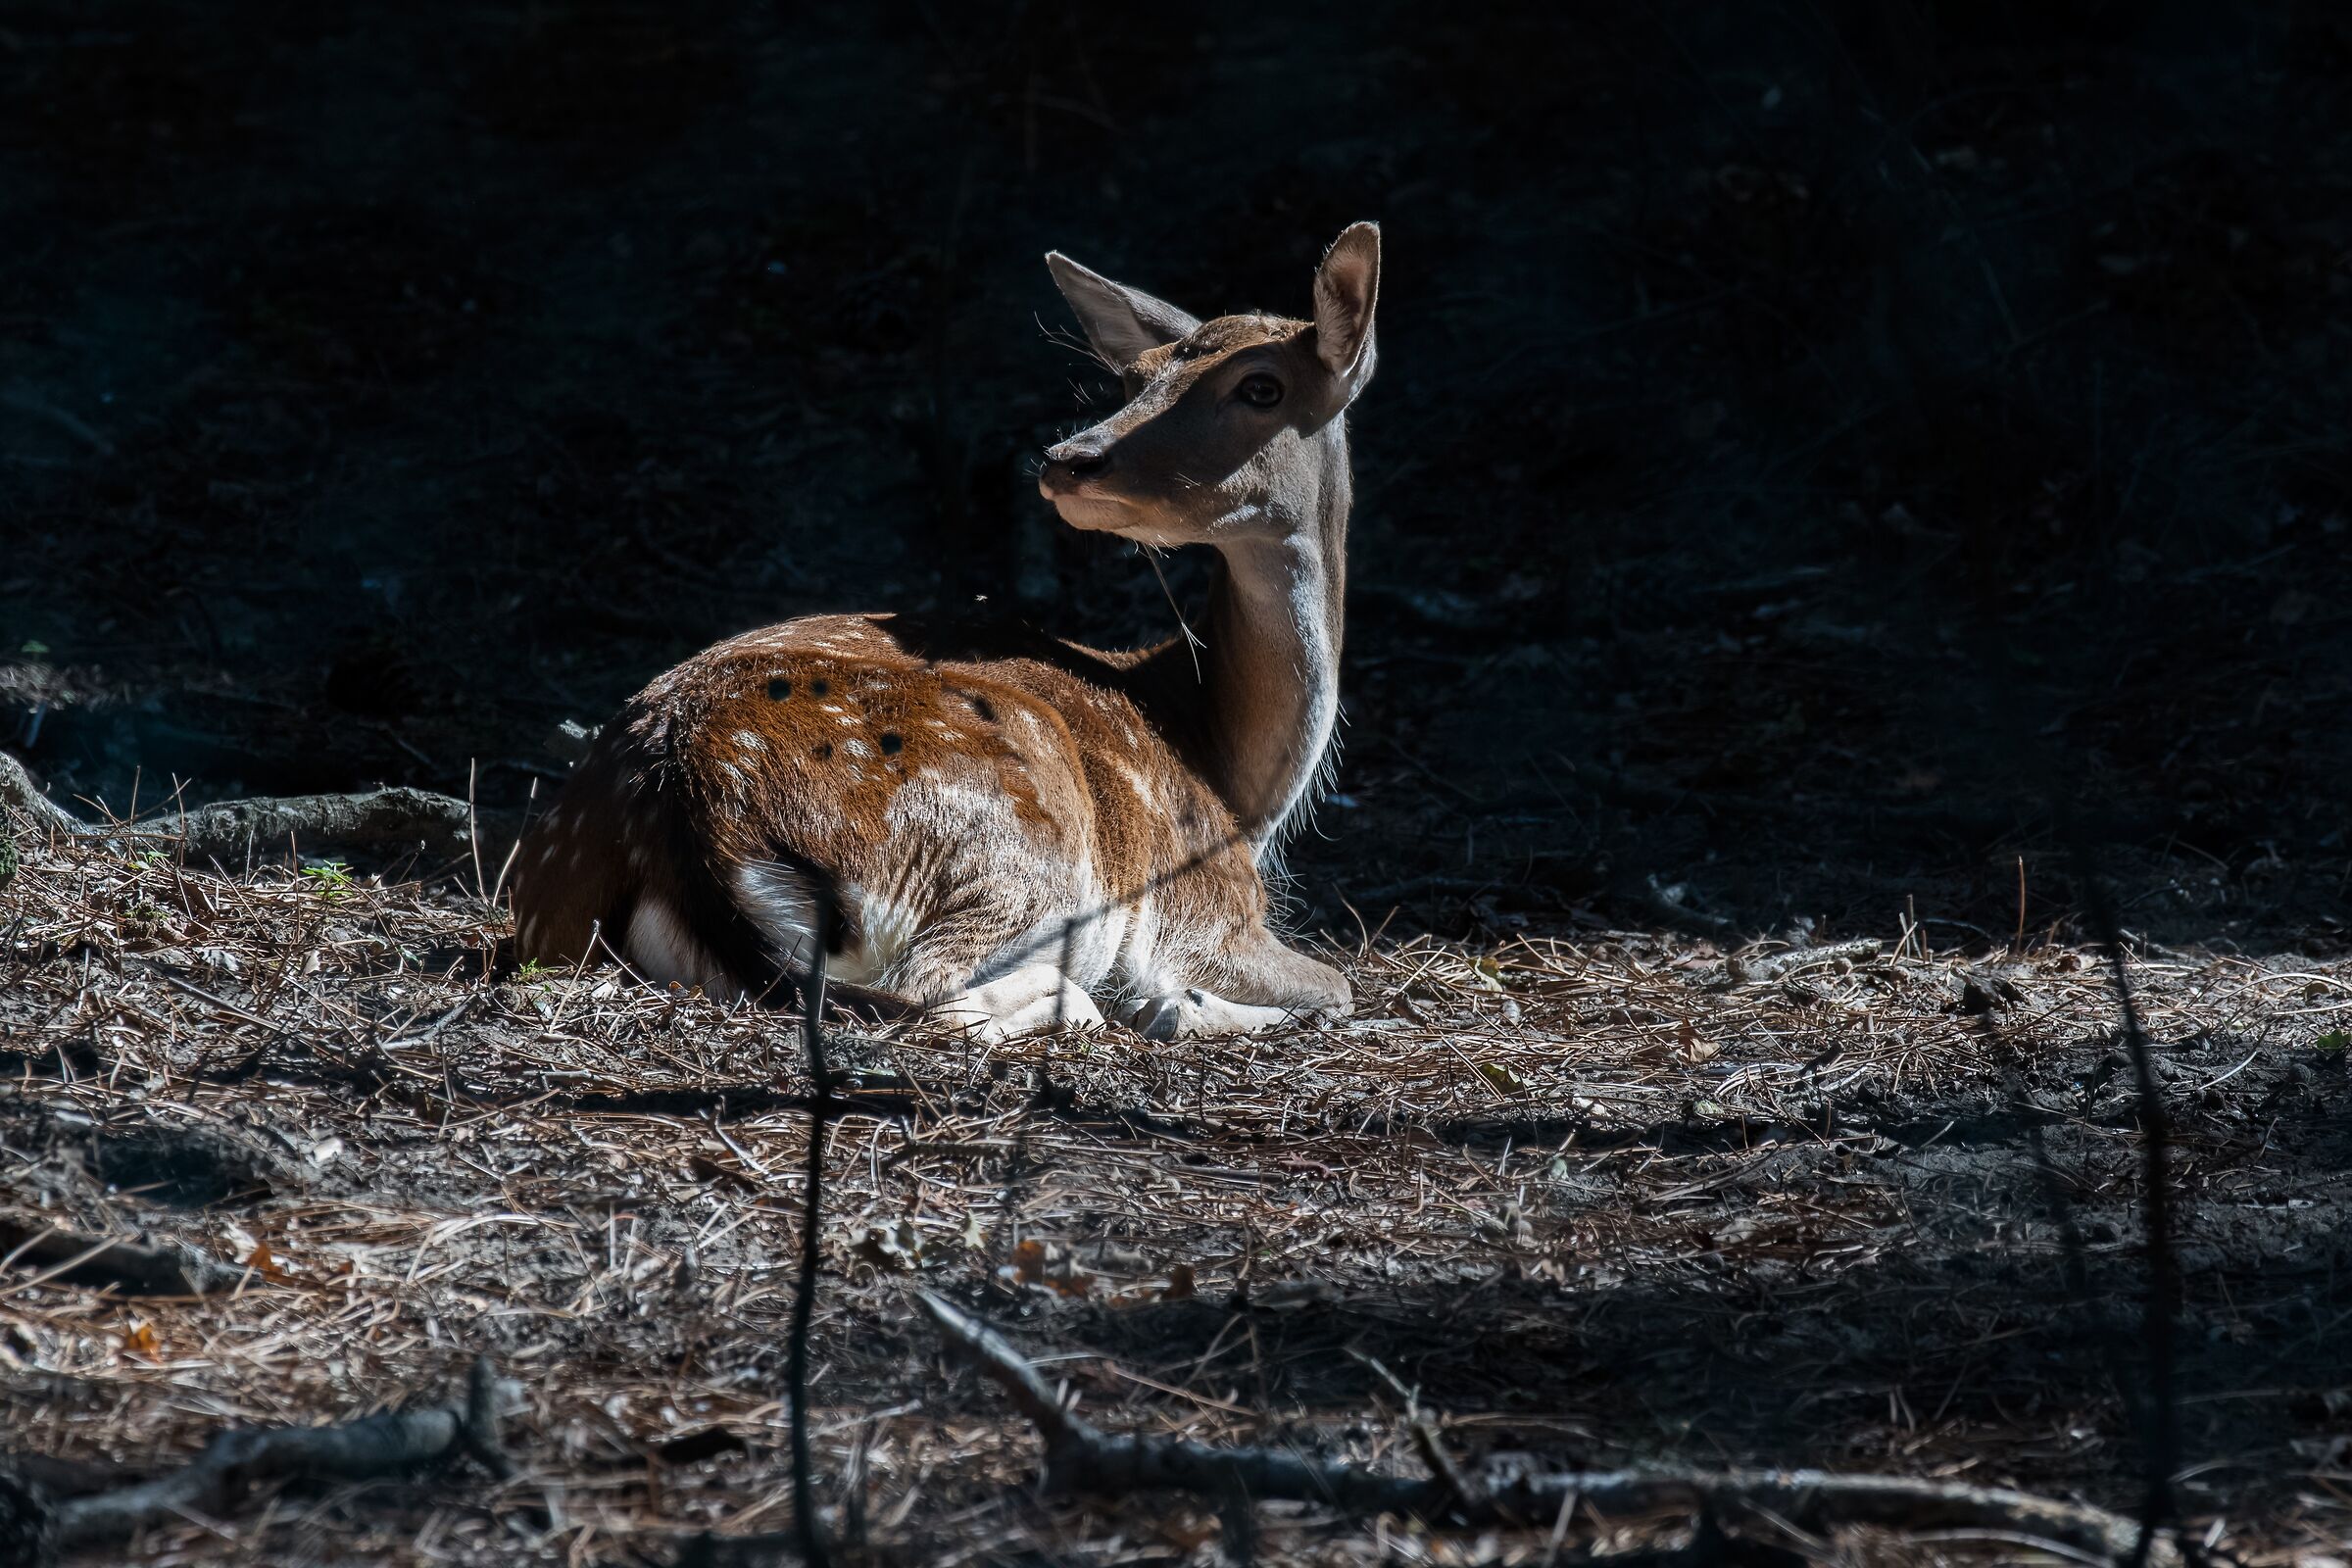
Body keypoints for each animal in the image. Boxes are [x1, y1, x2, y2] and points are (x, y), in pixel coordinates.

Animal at [508, 223, 1380, 1041]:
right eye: (1135, 378)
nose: (1069, 456)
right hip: (1020, 840)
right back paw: (1093, 1002)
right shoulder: (1205, 910)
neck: (1229, 776)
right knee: (933, 990)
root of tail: (678, 814)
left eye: (1262, 387)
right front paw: (1177, 1004)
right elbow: (1338, 983)